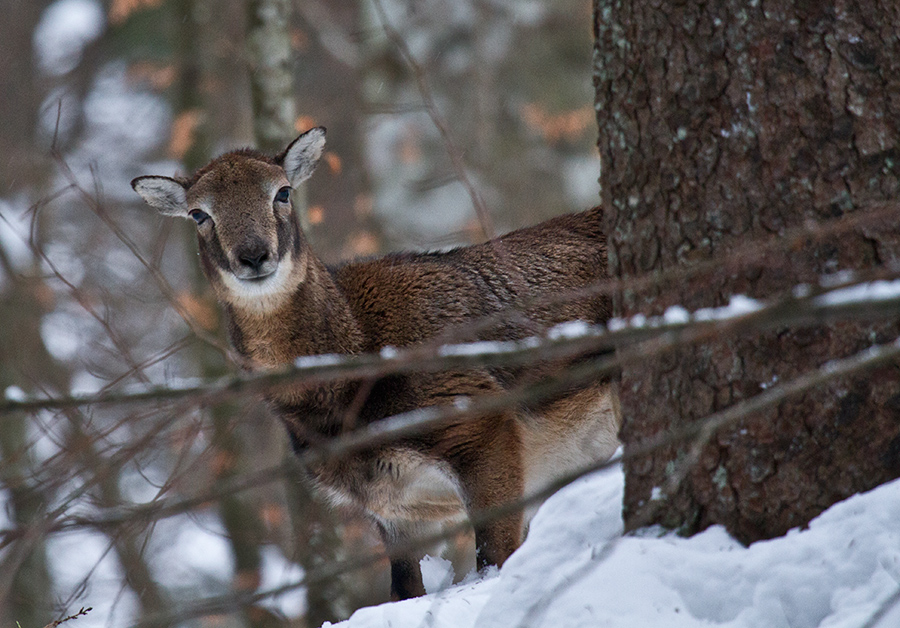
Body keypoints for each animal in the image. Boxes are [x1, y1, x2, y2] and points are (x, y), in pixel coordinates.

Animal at [134, 126, 624, 600]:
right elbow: (403, 588)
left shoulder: (478, 419)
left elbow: (494, 558)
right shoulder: (391, 504)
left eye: (283, 192)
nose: (254, 255)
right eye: (199, 214)